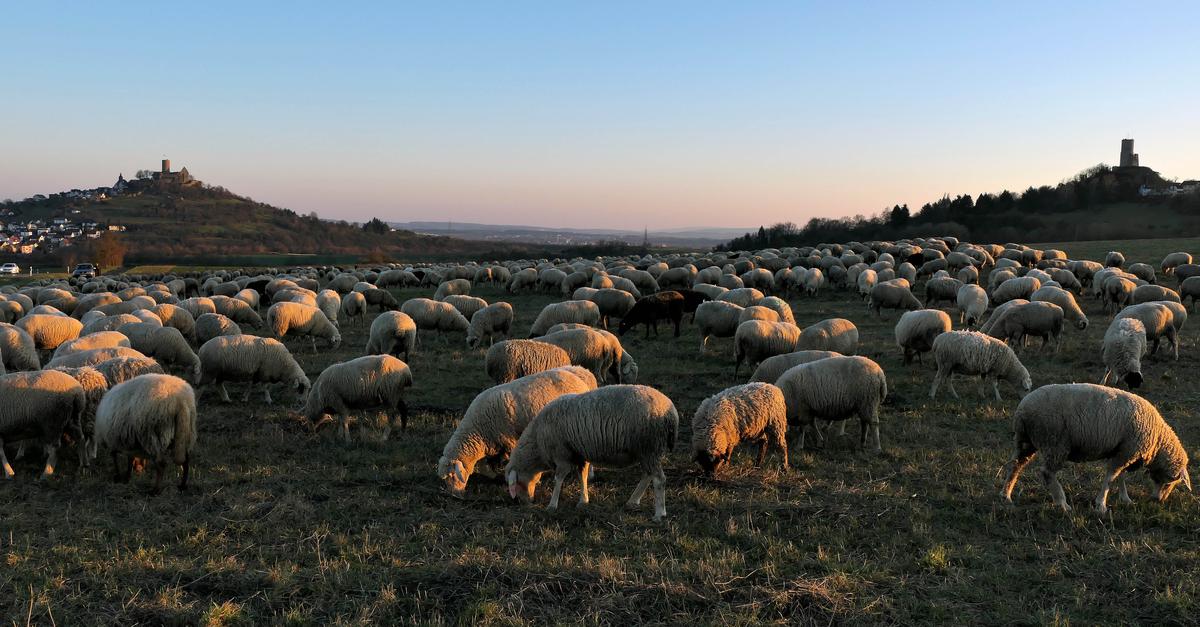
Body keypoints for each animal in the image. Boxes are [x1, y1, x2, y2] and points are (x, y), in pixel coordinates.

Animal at [437, 366, 598, 497]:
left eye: (452, 475)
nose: (454, 495)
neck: (477, 430)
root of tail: (578, 375)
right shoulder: (492, 444)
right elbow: (487, 463)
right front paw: (491, 474)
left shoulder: (509, 441)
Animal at [505, 385, 679, 521]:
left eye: (516, 483)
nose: (524, 503)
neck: (537, 442)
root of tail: (671, 413)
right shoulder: (579, 453)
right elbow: (582, 476)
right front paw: (583, 500)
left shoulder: (562, 455)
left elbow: (558, 479)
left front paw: (552, 505)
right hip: (648, 451)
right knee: (648, 475)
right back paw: (633, 500)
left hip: (649, 446)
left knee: (659, 479)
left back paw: (659, 513)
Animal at [1000, 384, 1191, 514]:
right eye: (1172, 481)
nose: (1158, 501)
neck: (1157, 442)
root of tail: (1022, 410)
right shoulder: (1126, 451)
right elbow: (1110, 478)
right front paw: (1101, 505)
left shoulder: (1122, 450)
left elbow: (1120, 477)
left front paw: (1125, 499)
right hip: (1054, 442)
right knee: (1047, 472)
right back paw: (1062, 503)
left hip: (1025, 441)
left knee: (1015, 465)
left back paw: (1006, 495)